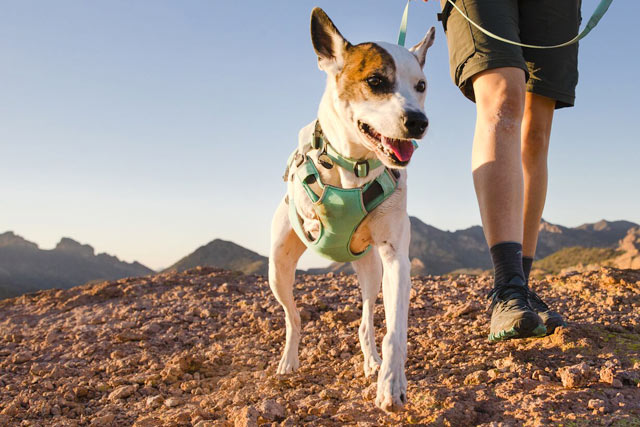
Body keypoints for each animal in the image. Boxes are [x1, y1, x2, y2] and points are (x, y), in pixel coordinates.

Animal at [270, 7, 436, 414]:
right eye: (376, 81)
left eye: (421, 85)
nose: (418, 122)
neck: (355, 164)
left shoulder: (396, 258)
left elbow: (395, 332)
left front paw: (391, 385)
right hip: (277, 269)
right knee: (292, 317)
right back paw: (289, 361)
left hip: (371, 269)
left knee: (365, 320)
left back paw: (372, 362)